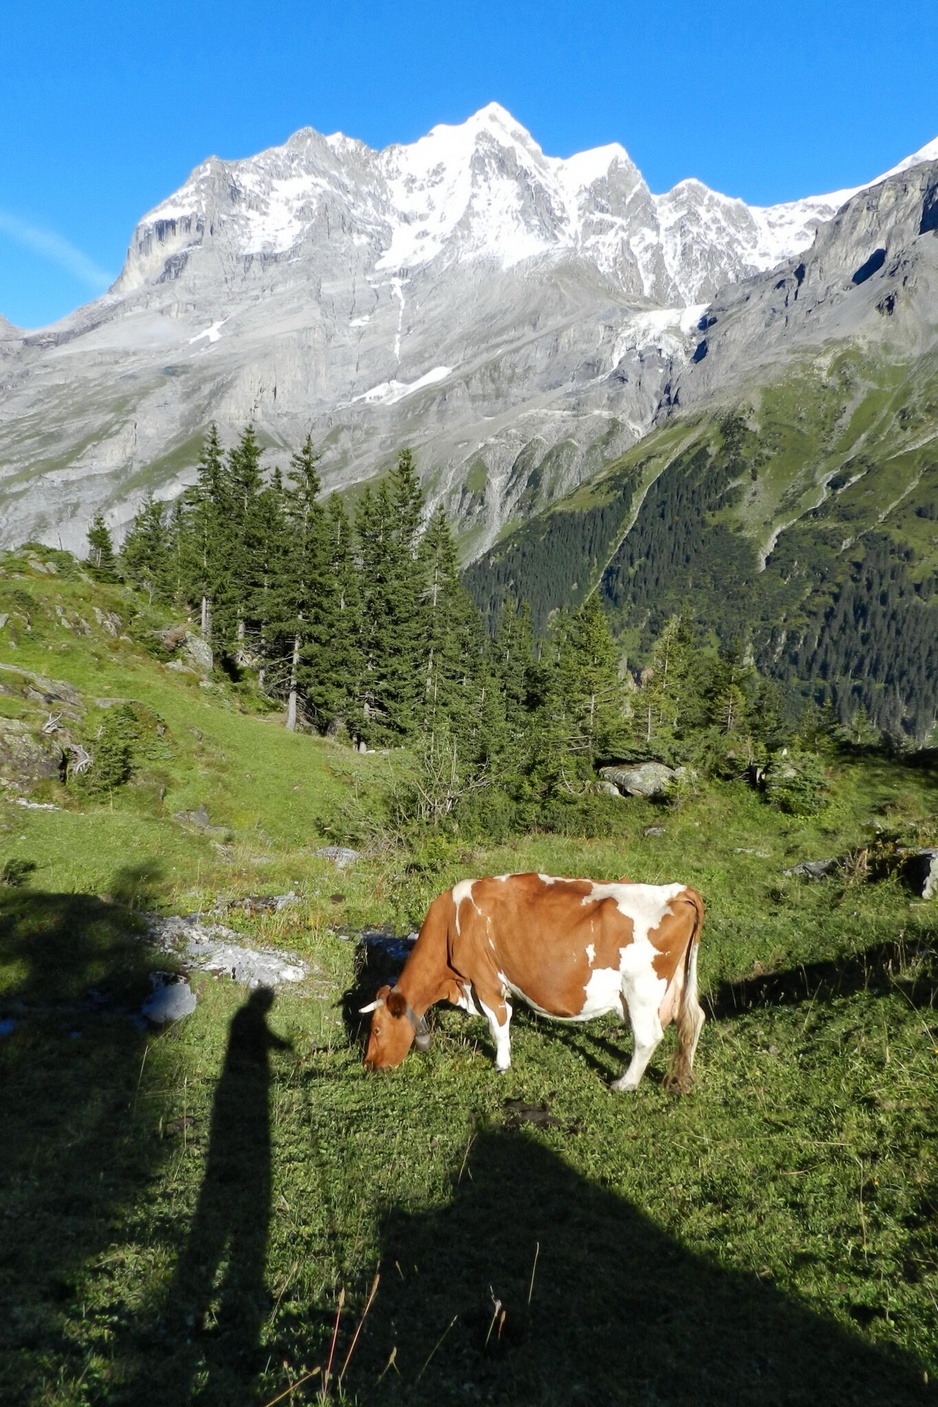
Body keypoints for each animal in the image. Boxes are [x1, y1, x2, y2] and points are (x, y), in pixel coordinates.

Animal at [361, 872, 704, 1093]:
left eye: (376, 1029)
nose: (369, 1065)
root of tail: (675, 891)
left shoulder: (485, 981)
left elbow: (498, 1026)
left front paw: (501, 1065)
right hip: (676, 984)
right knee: (693, 1019)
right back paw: (683, 1080)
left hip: (640, 990)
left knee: (648, 1036)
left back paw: (625, 1084)